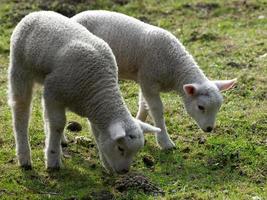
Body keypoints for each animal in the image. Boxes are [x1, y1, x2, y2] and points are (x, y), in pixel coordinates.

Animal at [7, 11, 161, 173]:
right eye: (120, 148)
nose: (124, 171)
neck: (97, 86)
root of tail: (37, 13)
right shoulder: (54, 94)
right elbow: (57, 124)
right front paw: (53, 160)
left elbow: (96, 133)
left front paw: (106, 164)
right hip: (20, 69)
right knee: (21, 111)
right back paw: (24, 157)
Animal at [72, 10, 238, 149]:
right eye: (201, 107)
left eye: (218, 107)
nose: (209, 129)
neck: (175, 66)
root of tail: (75, 17)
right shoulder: (149, 80)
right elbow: (157, 110)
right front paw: (165, 142)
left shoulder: (143, 80)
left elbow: (144, 105)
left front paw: (140, 124)